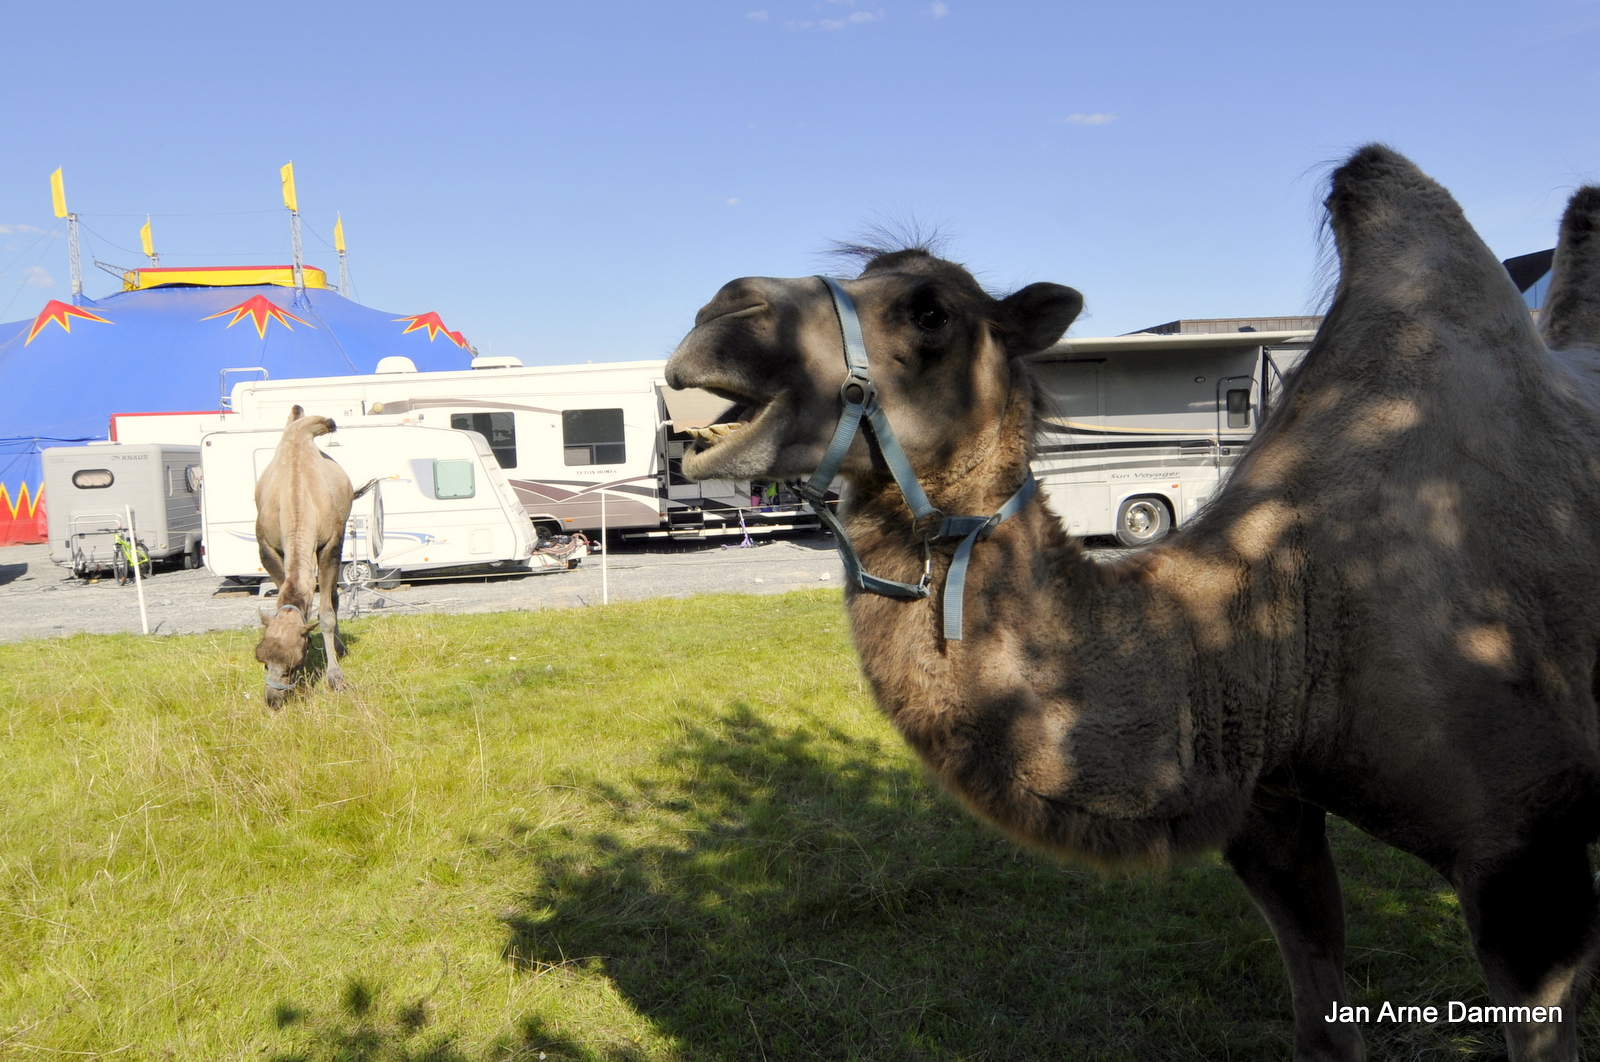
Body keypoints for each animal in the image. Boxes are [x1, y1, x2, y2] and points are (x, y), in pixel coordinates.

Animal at [252, 403, 353, 710]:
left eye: (292, 665)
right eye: (263, 662)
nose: (273, 699)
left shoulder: (330, 543)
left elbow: (326, 614)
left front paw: (335, 677)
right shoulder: (267, 547)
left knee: (333, 597)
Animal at [665, 145, 1600, 1055]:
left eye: (931, 312)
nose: (720, 316)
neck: (1282, 611)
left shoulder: (1525, 851)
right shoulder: (1271, 812)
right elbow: (1321, 1023)